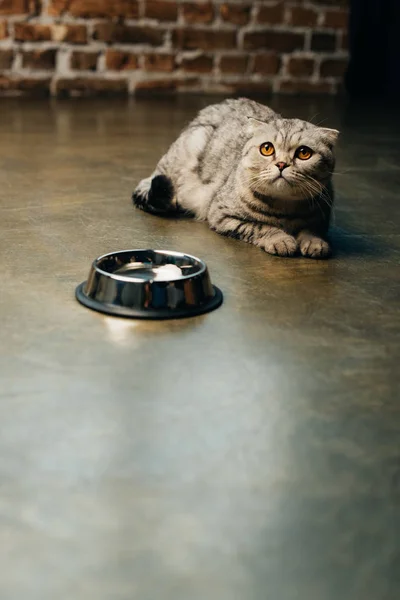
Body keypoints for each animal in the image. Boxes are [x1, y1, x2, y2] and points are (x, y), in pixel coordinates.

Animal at [133, 96, 340, 258]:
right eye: (267, 148)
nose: (281, 164)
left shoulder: (322, 218)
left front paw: (314, 242)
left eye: (304, 153)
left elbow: (312, 230)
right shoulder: (222, 213)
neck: (284, 209)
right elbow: (260, 227)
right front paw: (281, 239)